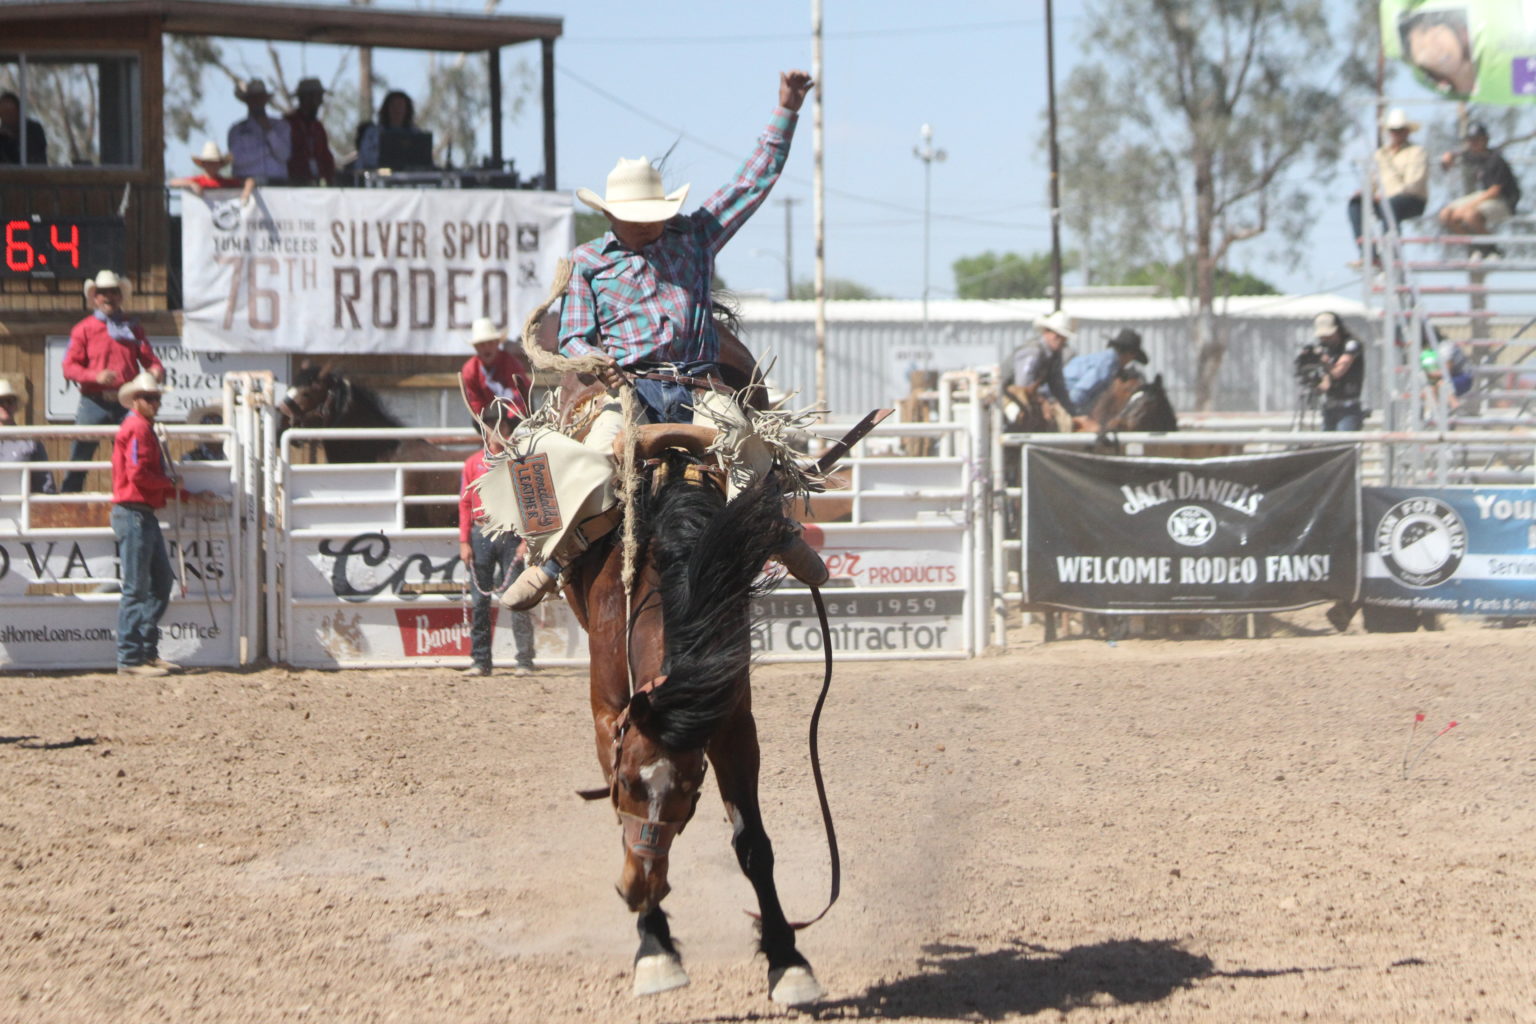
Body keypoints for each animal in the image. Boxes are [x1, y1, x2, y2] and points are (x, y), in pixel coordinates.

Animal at [562, 423, 829, 1000]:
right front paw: (654, 950)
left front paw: (788, 959)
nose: (640, 889)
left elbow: (752, 844)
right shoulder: (607, 716)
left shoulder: (733, 726)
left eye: (689, 794)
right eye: (628, 785)